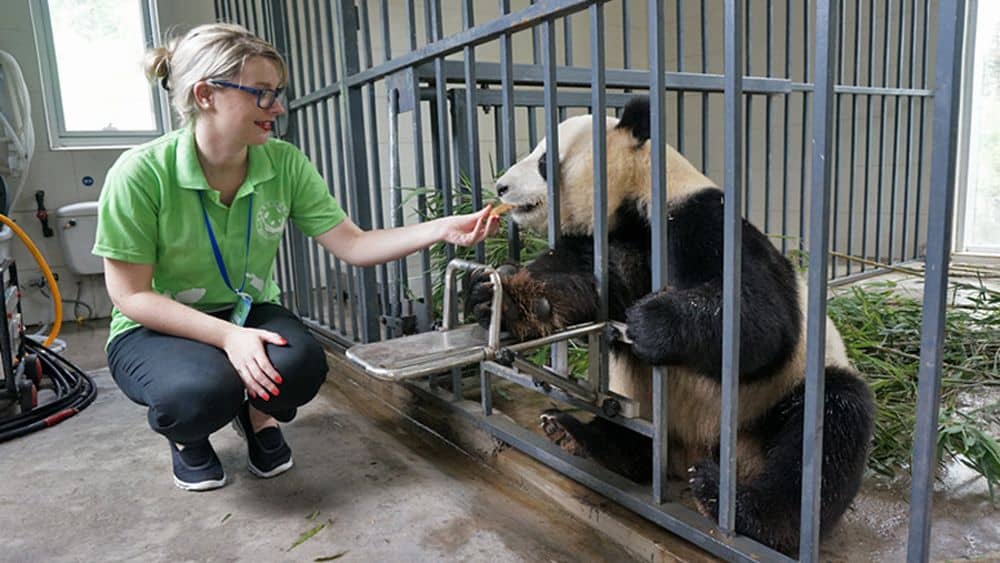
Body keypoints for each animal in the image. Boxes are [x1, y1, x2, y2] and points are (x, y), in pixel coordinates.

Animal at [468, 97, 876, 556]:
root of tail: (697, 454)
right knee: (632, 437)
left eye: (544, 160)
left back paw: (737, 506)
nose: (501, 187)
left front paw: (653, 322)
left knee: (829, 424)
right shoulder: (616, 242)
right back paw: (577, 434)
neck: (637, 197)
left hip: (774, 398)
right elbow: (584, 285)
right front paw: (502, 299)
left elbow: (761, 320)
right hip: (648, 406)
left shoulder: (700, 219)